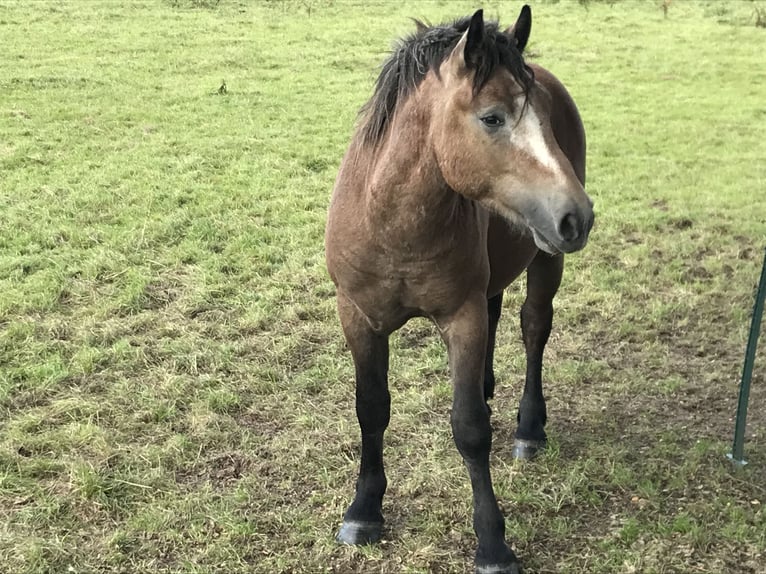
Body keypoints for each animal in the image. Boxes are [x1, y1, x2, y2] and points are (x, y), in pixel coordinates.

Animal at [324, 5, 592, 574]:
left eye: (542, 113)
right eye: (491, 117)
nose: (578, 216)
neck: (392, 223)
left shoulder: (460, 318)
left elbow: (470, 427)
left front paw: (492, 544)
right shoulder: (356, 316)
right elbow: (371, 409)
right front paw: (364, 512)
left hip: (547, 259)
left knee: (534, 328)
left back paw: (529, 430)